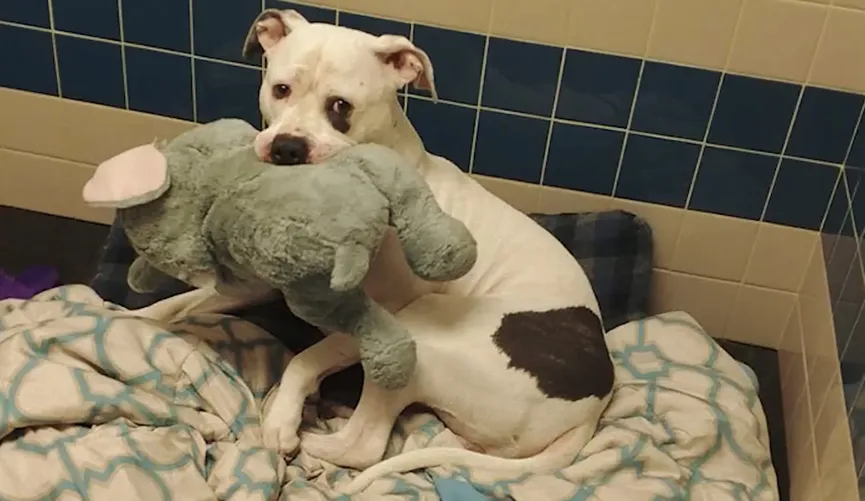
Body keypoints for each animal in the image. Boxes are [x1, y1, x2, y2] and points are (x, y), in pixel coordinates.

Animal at [137, 9, 616, 494]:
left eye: (340, 106)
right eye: (281, 89)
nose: (288, 146)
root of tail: (591, 409)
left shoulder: (372, 324)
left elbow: (306, 360)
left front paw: (283, 420)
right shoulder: (261, 286)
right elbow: (184, 302)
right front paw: (134, 321)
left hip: (420, 334)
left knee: (364, 446)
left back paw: (308, 436)